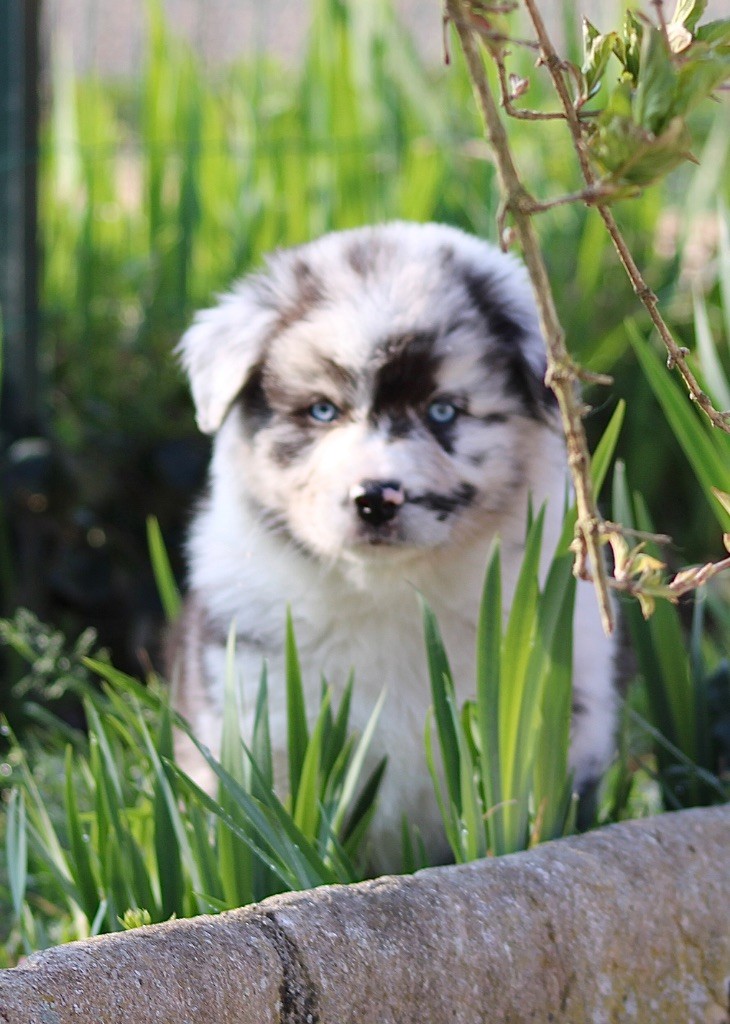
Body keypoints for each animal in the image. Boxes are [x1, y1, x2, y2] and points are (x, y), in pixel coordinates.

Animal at [166, 220, 614, 868]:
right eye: (322, 410)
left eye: (443, 411)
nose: (376, 498)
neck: (394, 592)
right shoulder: (252, 718)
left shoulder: (562, 721)